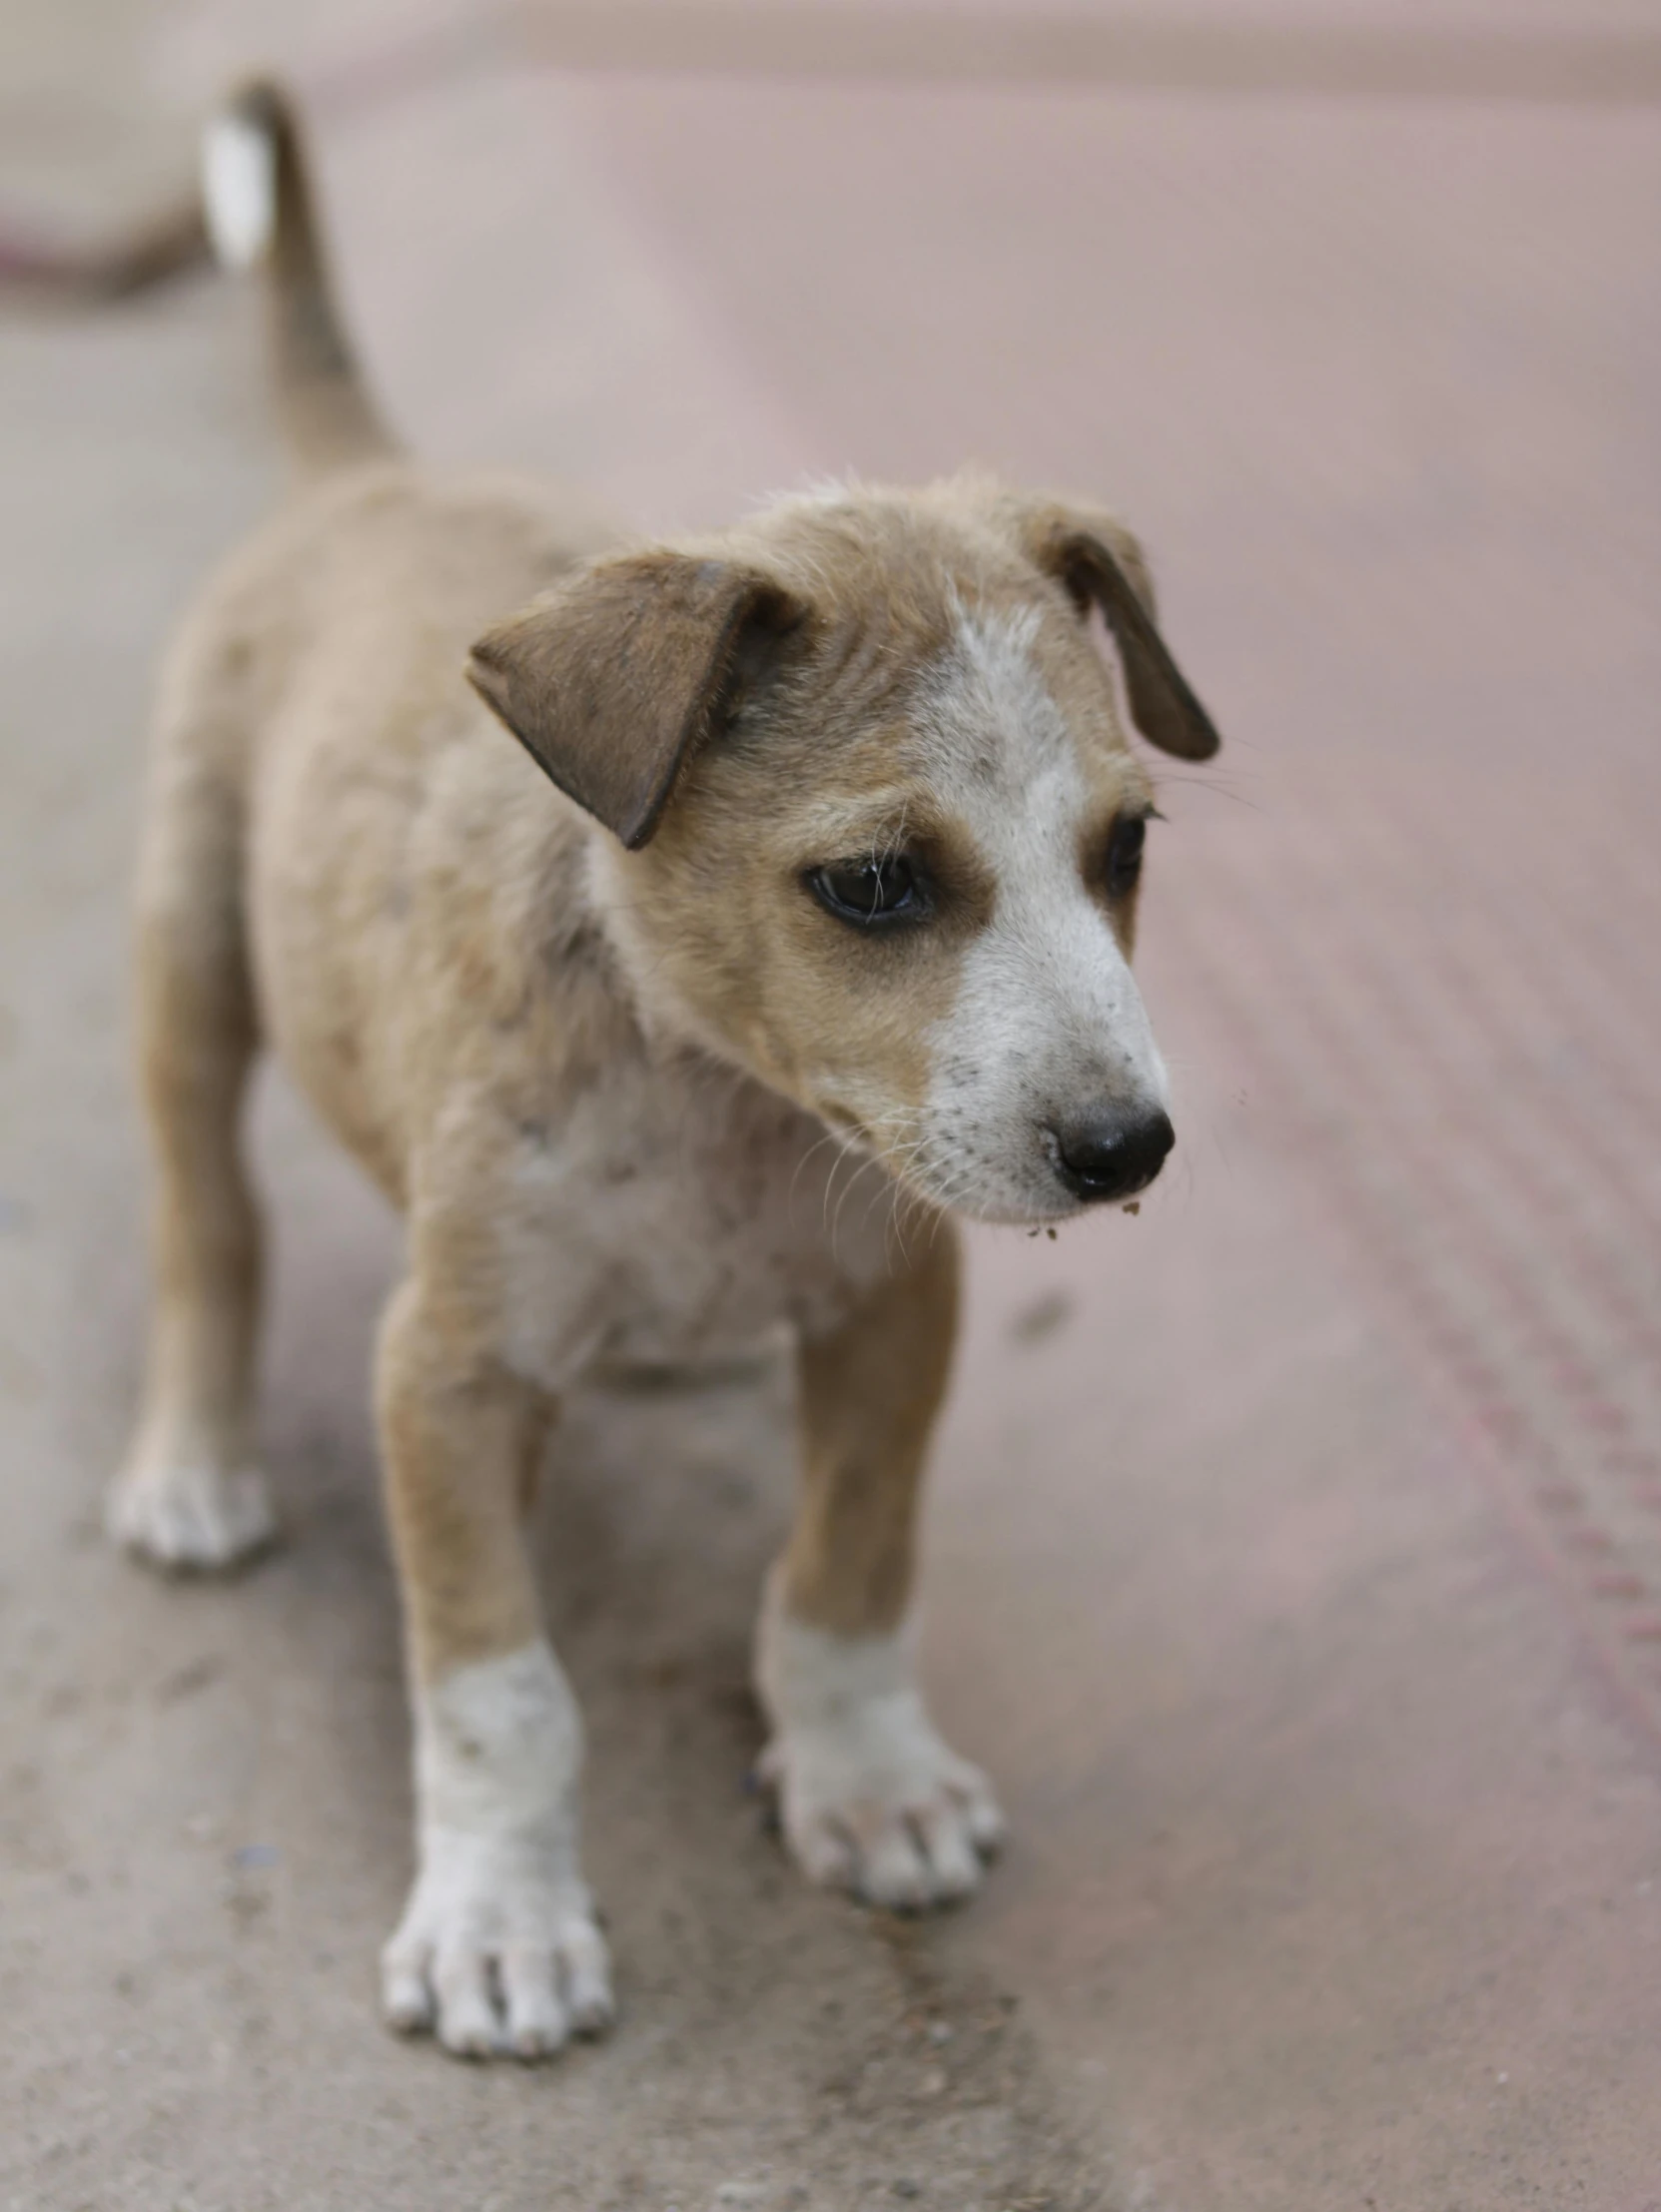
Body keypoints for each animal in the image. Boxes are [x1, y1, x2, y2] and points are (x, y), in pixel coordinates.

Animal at [107, 81, 1221, 2052]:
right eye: (873, 883)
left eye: (1124, 846)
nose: (1123, 1148)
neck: (714, 1101)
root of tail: (363, 476)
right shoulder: (447, 1372)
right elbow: (498, 1689)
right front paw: (497, 1916)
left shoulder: (889, 1309)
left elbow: (847, 1573)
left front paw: (866, 1779)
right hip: (191, 957)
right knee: (207, 1219)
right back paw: (194, 1458)